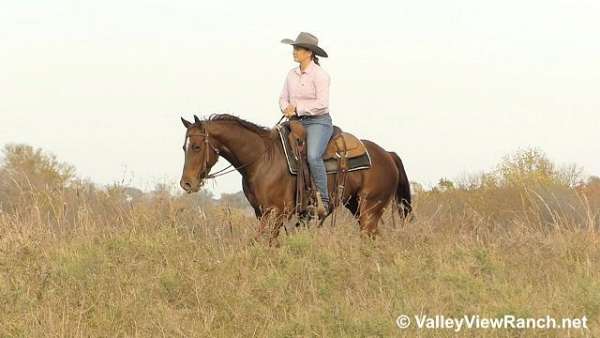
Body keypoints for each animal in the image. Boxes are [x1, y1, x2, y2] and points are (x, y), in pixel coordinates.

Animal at [179, 113, 412, 246]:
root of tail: (388, 155)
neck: (262, 159)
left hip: (369, 209)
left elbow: (262, 242)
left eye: (197, 146)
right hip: (356, 207)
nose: (186, 183)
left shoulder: (276, 212)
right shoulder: (261, 212)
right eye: (184, 147)